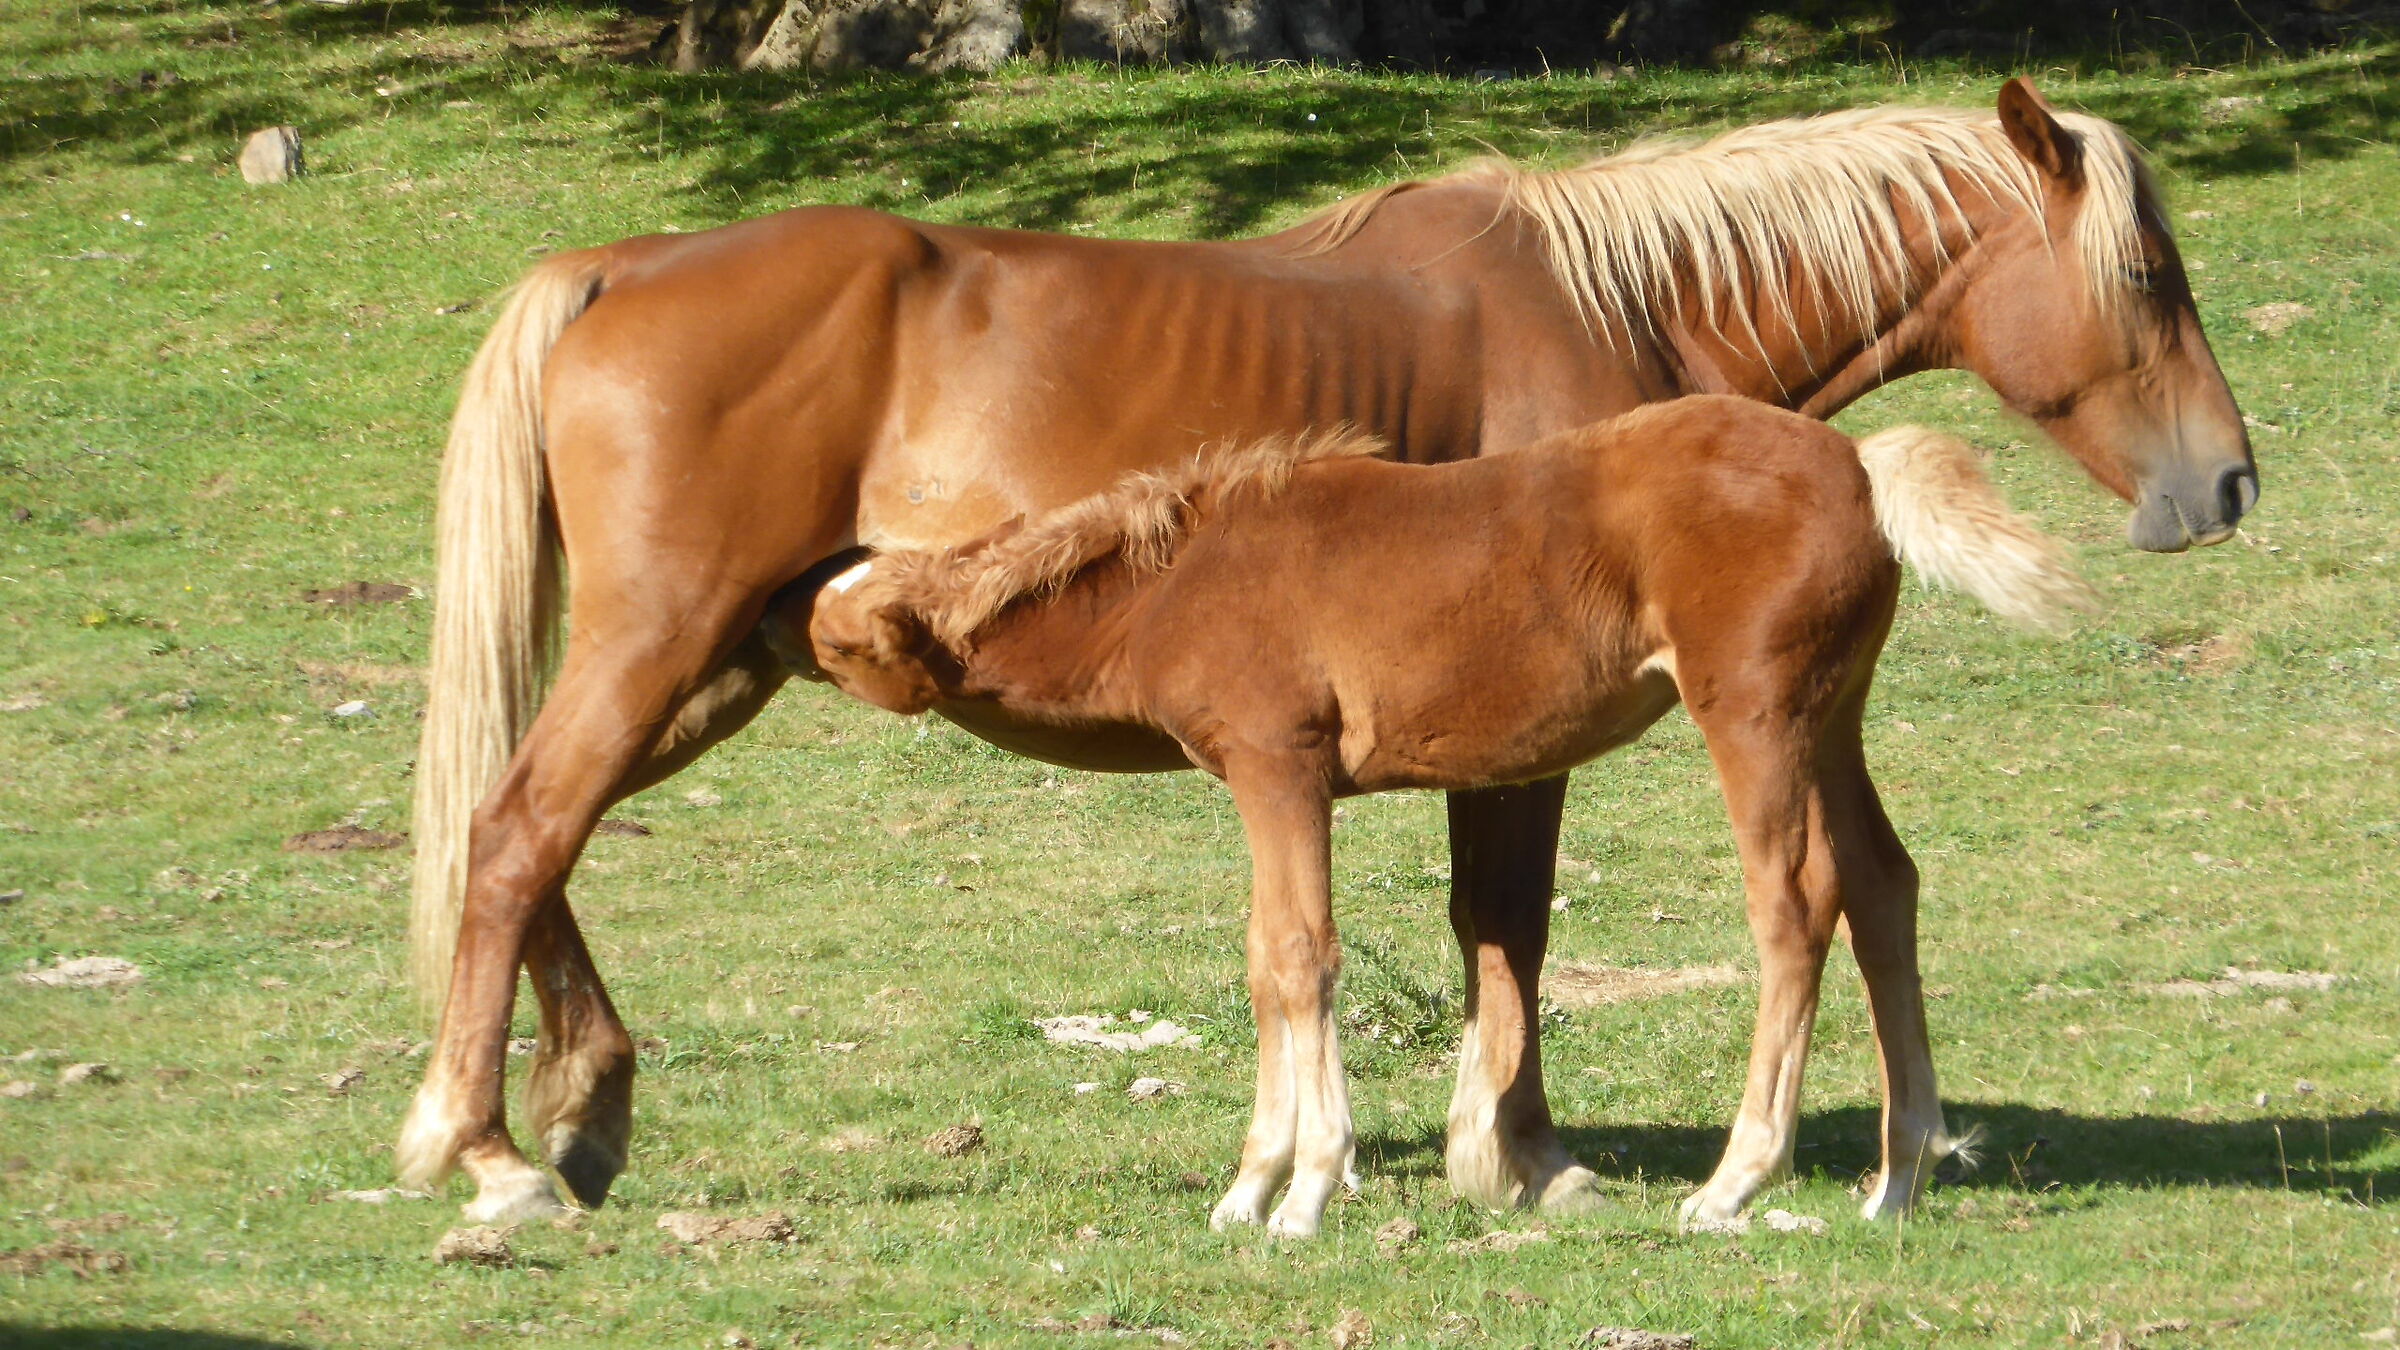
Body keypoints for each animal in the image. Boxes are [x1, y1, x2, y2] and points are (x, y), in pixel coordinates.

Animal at [787, 396, 2092, 1236]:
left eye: (838, 642)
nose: (776, 639)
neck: (1183, 576)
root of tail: (1862, 467)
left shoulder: (1280, 768)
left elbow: (1301, 958)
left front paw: (1306, 1191)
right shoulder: (1265, 786)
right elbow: (1265, 963)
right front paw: (1247, 1189)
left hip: (1756, 716)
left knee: (1798, 903)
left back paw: (1735, 1183)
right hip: (1832, 718)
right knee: (1883, 885)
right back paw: (1898, 1178)